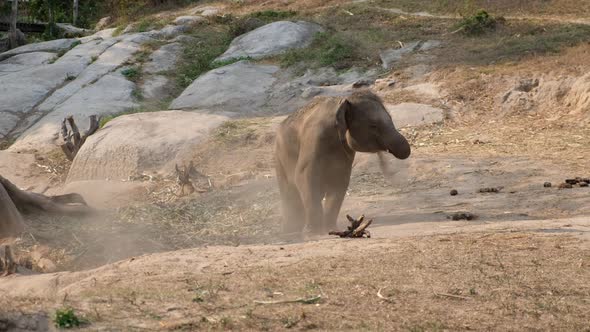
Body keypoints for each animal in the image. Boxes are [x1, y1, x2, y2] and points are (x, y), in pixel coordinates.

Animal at [276, 89, 412, 232]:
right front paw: (313, 232)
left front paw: (330, 229)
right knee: (290, 194)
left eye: (391, 118)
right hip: (279, 158)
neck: (344, 101)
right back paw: (290, 230)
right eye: (373, 125)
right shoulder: (313, 139)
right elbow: (304, 177)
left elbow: (340, 181)